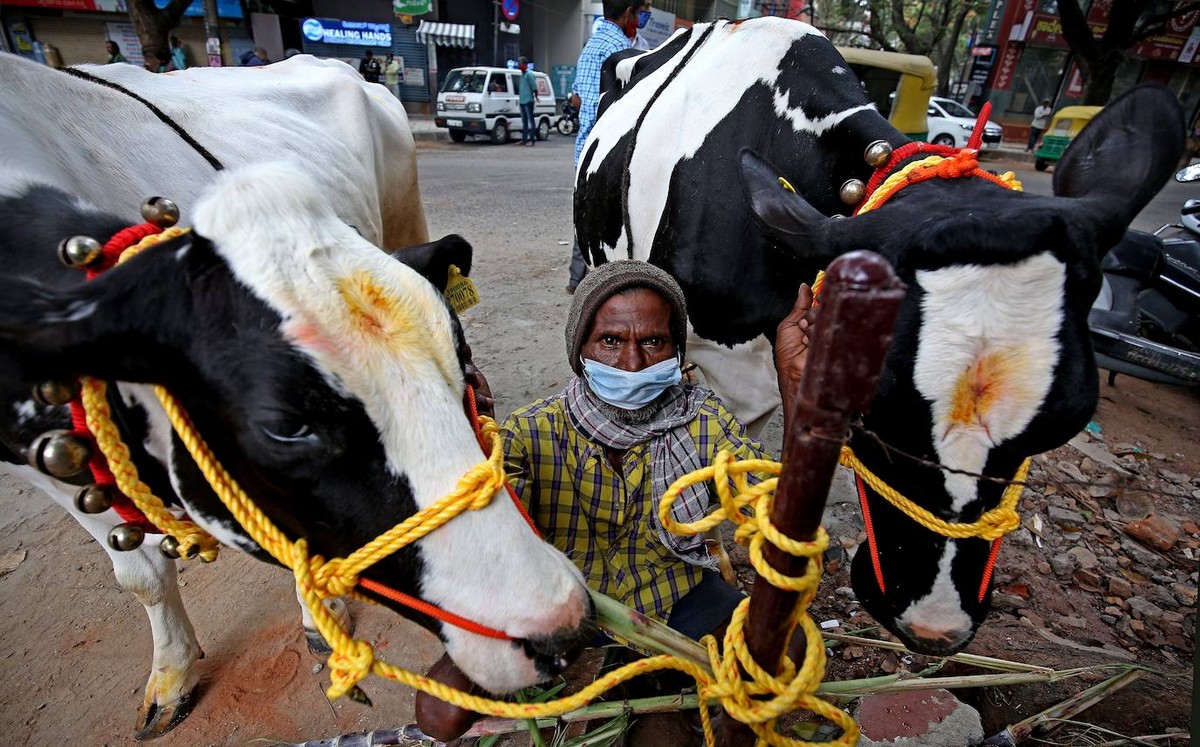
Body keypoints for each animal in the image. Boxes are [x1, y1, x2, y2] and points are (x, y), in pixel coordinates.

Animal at [2, 57, 592, 739]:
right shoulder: (49, 463)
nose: (562, 627)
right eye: (285, 424)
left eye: (459, 350)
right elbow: (142, 574)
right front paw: (171, 678)